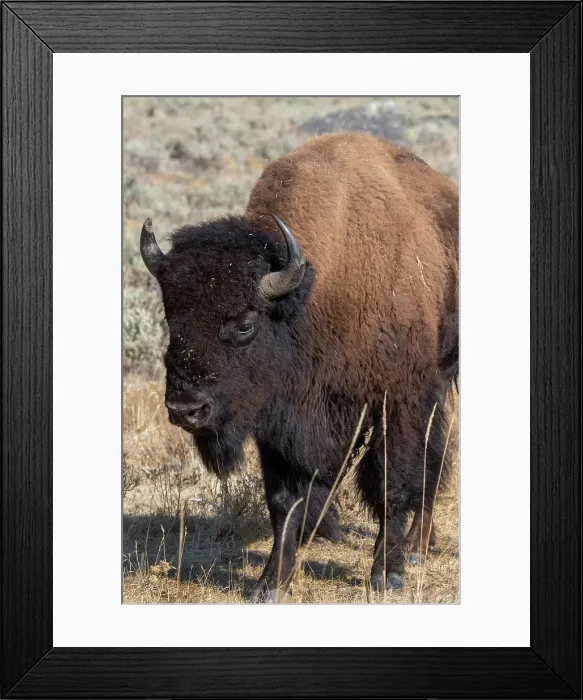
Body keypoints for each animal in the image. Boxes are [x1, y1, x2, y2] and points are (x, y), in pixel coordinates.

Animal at [140, 132, 458, 601]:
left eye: (244, 324)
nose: (185, 409)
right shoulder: (277, 416)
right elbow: (284, 500)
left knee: (433, 460)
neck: (313, 294)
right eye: (170, 317)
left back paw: (415, 549)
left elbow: (391, 483)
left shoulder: (398, 403)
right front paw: (271, 582)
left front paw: (387, 574)